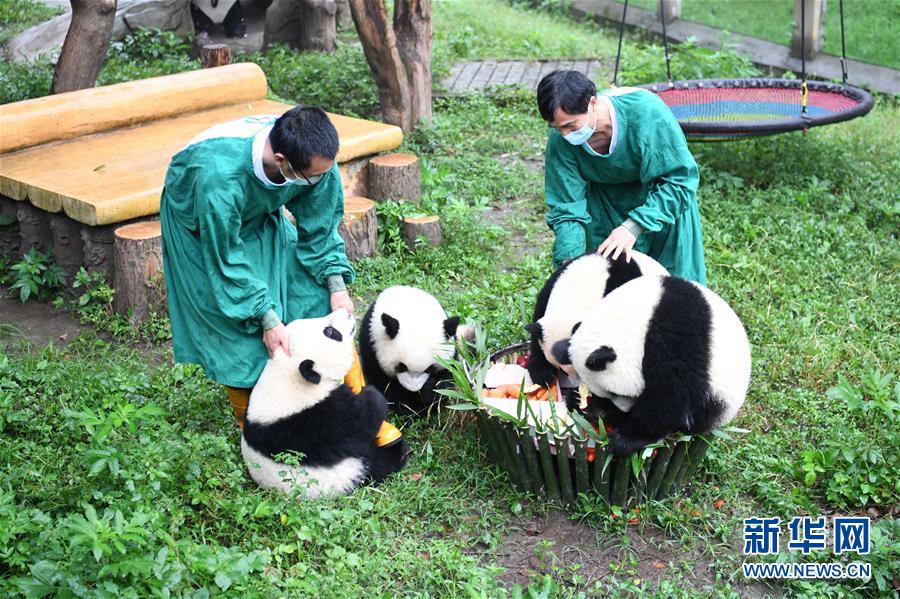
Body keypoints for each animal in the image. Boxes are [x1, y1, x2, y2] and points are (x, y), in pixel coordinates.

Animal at [239, 312, 408, 500]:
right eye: (330, 332)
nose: (347, 313)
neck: (288, 375)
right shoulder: (314, 421)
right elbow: (358, 423)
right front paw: (372, 396)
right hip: (348, 474)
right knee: (379, 464)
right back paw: (397, 450)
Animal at [358, 288, 474, 418]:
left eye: (429, 368)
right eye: (402, 366)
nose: (413, 389)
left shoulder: (450, 349)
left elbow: (445, 379)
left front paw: (426, 400)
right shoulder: (372, 344)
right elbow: (384, 382)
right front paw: (407, 408)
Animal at [552, 276, 748, 454]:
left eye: (616, 393)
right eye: (611, 394)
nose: (626, 408)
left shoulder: (676, 340)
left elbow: (669, 396)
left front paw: (626, 439)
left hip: (717, 400)